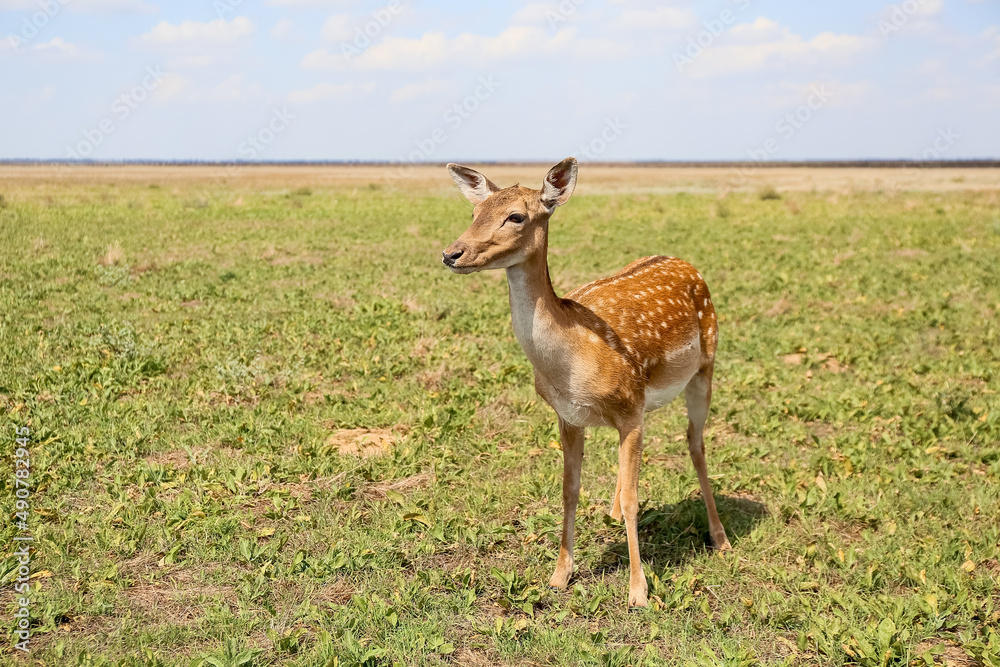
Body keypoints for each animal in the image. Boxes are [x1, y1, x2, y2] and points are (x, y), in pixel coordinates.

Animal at [442, 159, 732, 608]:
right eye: (475, 211)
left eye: (516, 216)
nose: (451, 253)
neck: (571, 365)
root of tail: (686, 263)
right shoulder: (571, 416)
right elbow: (570, 490)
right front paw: (559, 575)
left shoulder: (628, 407)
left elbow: (633, 499)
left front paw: (638, 592)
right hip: (648, 398)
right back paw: (611, 514)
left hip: (705, 367)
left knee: (695, 443)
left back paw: (719, 538)